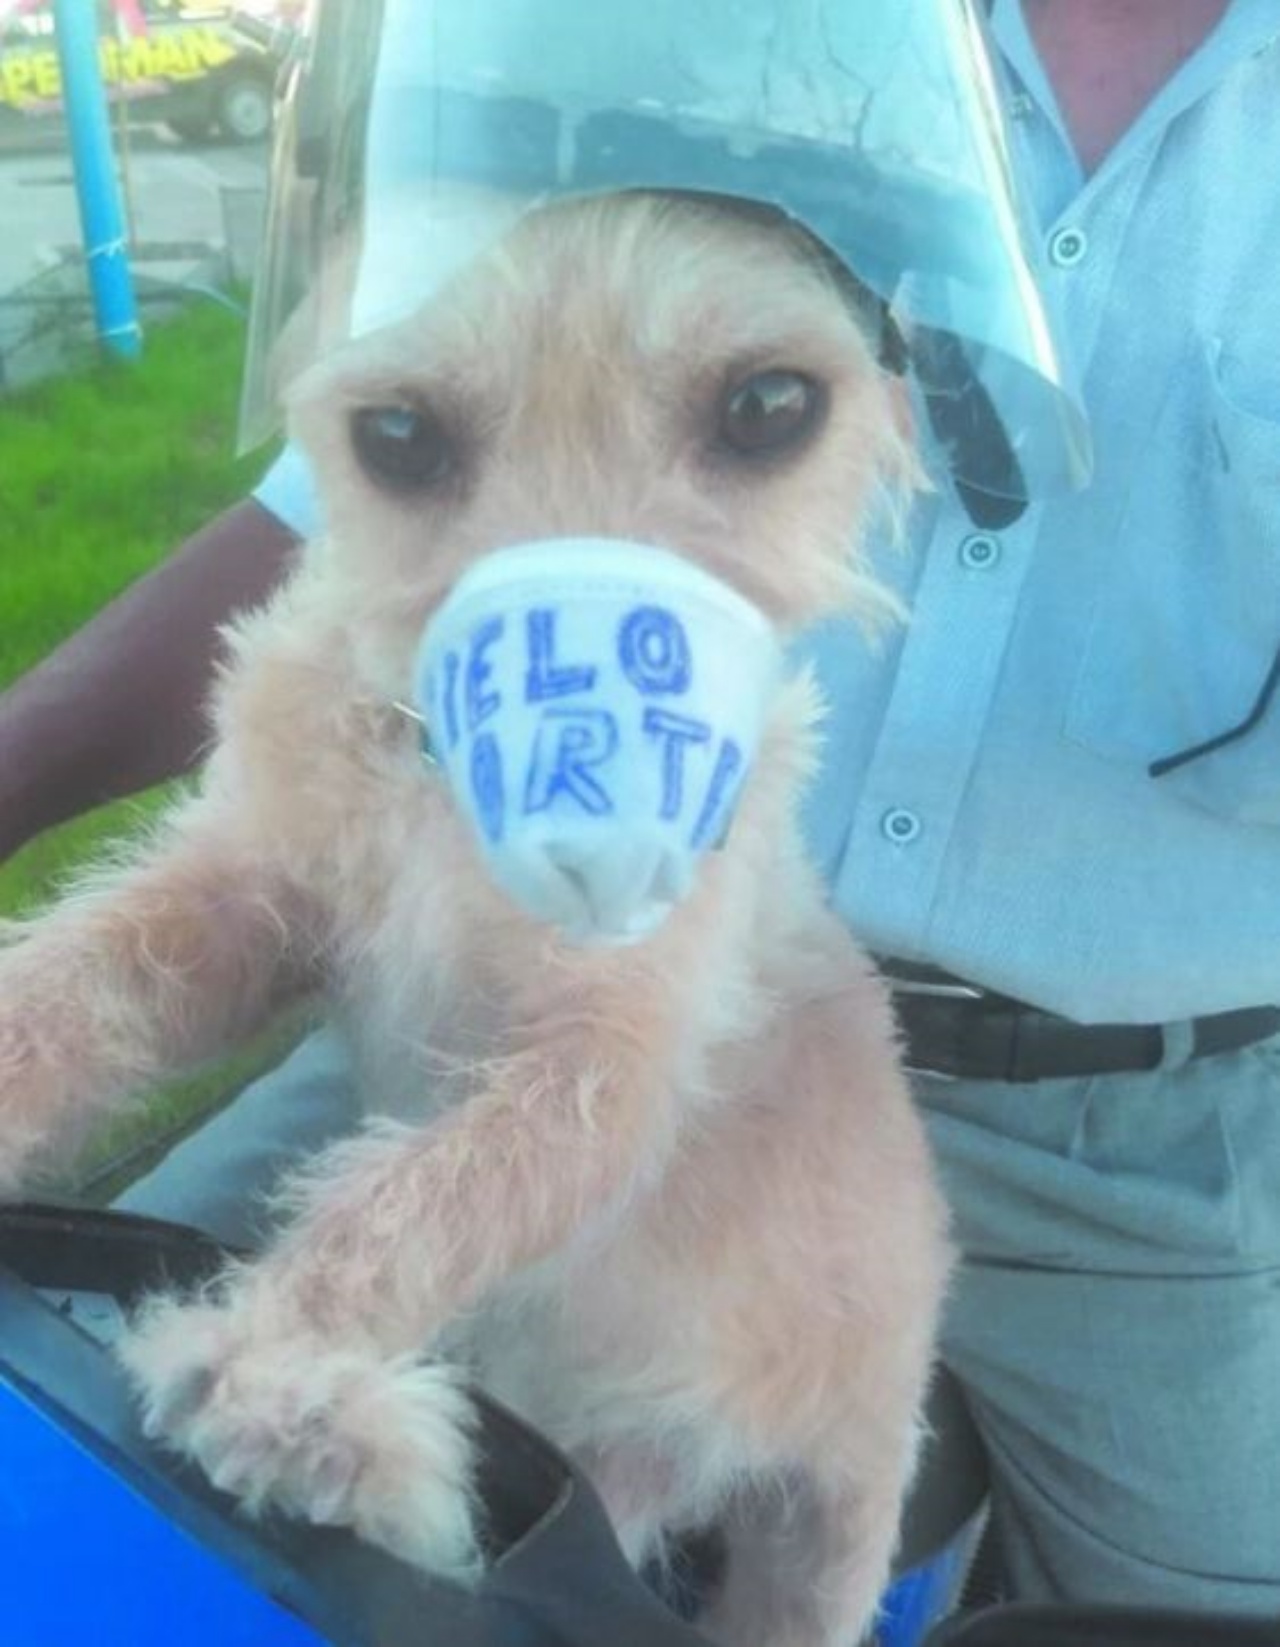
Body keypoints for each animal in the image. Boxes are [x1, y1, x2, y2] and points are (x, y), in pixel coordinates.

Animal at [0, 195, 948, 1647]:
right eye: (395, 434)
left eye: (771, 405)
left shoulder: (605, 1064)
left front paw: (280, 1382)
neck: (441, 788)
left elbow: (423, 1192)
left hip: (822, 1535)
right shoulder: (243, 902)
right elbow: (65, 992)